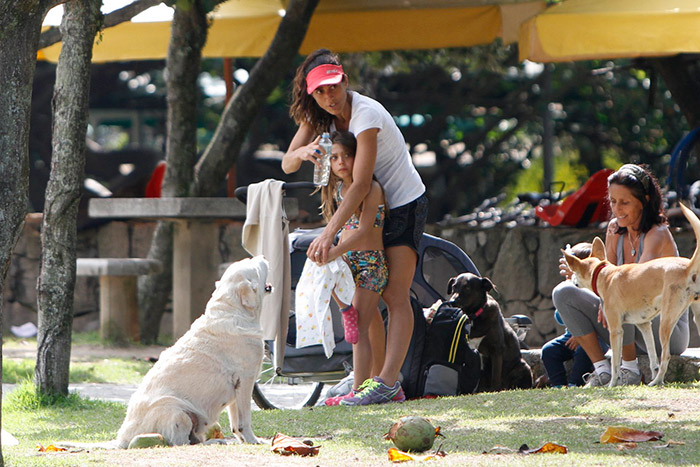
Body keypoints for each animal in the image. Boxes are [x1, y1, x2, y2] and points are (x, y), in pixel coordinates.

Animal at [116, 256, 270, 450]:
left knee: (193, 440)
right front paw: (252, 440)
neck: (233, 311)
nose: (263, 257)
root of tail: (122, 440)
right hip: (176, 411)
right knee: (181, 443)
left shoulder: (237, 388)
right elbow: (244, 421)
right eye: (255, 266)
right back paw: (213, 441)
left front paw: (244, 440)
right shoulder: (245, 381)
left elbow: (236, 424)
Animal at [564, 203, 700, 386]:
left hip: (665, 322)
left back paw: (656, 381)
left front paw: (612, 384)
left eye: (574, 272)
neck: (603, 273)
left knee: (666, 356)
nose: (570, 279)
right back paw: (657, 380)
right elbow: (652, 358)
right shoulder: (644, 326)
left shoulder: (615, 330)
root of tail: (687, 267)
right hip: (695, 318)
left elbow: (615, 363)